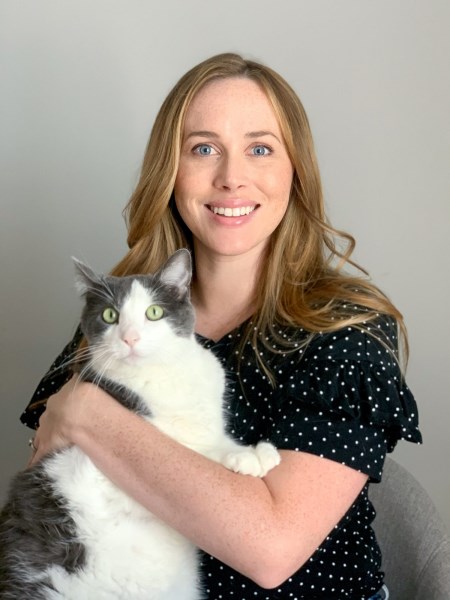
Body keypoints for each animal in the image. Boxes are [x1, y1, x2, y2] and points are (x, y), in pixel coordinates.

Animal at [0, 246, 282, 596]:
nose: (130, 338)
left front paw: (254, 452)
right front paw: (246, 456)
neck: (163, 372)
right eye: (110, 316)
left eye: (154, 312)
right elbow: (186, 445)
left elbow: (212, 436)